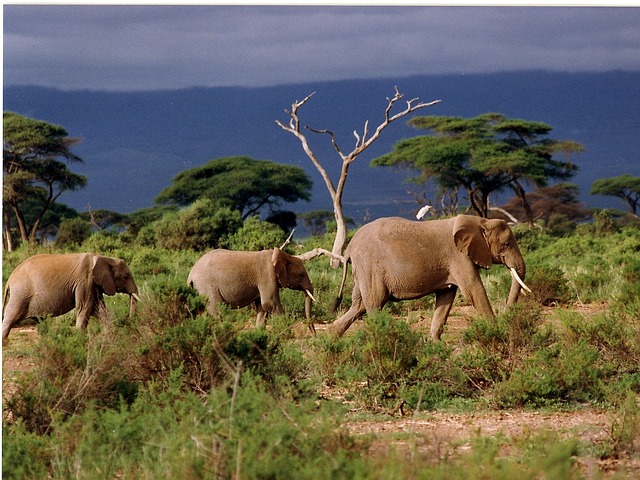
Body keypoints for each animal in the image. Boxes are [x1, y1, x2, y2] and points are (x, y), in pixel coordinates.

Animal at [2, 253, 140, 344]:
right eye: (126, 276)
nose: (130, 320)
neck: (103, 258)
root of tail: (9, 279)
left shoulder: (93, 284)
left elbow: (99, 309)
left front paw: (110, 335)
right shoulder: (85, 281)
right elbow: (85, 307)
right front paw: (80, 339)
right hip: (21, 294)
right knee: (11, 315)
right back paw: (5, 342)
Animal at [185, 248, 316, 330]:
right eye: (301, 275)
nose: (314, 335)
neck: (282, 255)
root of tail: (190, 275)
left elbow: (262, 307)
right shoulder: (267, 275)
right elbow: (270, 303)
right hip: (207, 286)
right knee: (216, 310)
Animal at [330, 214, 528, 342]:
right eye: (506, 244)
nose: (507, 316)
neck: (480, 221)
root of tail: (348, 249)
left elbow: (446, 297)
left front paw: (435, 343)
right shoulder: (458, 257)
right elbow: (474, 290)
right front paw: (497, 331)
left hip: (364, 270)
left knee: (359, 305)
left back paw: (330, 340)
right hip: (370, 266)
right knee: (375, 303)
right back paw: (383, 337)